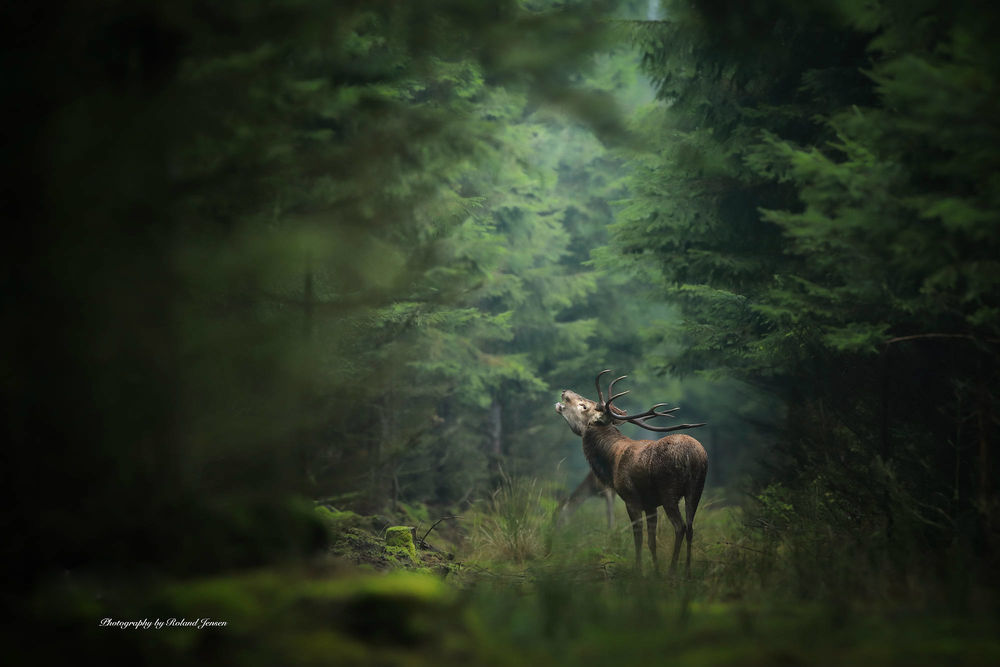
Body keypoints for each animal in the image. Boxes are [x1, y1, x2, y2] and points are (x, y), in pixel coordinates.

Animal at [554, 370, 708, 575]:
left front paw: (639, 570)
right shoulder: (650, 504)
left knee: (680, 526)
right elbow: (651, 541)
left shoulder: (631, 498)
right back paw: (688, 571)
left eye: (584, 406)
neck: (610, 463)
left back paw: (672, 570)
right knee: (691, 526)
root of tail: (694, 457)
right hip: (696, 488)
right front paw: (655, 571)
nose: (565, 392)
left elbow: (638, 539)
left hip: (669, 491)